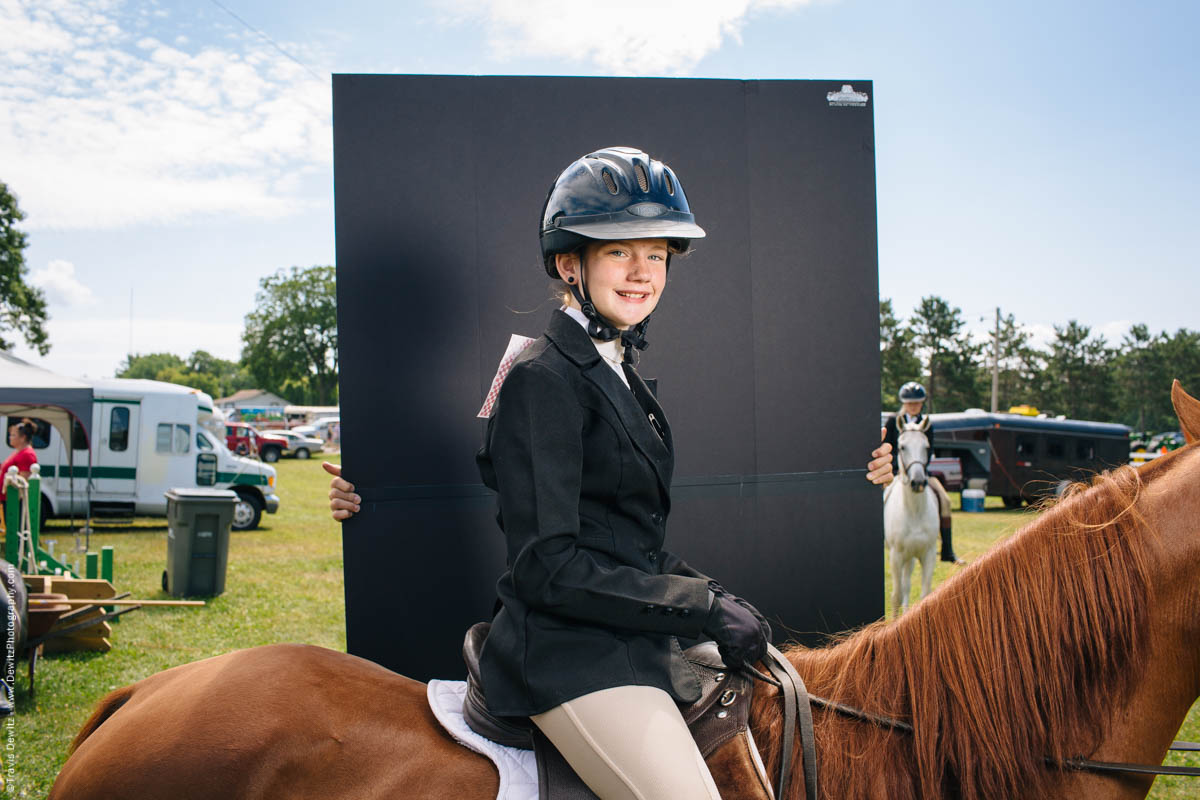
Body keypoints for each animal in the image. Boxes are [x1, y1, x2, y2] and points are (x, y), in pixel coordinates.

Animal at [888, 422, 940, 618]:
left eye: (926, 447)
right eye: (902, 447)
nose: (917, 482)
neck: (915, 512)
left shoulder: (928, 554)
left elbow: (924, 594)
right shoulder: (895, 556)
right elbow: (896, 595)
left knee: (907, 585)